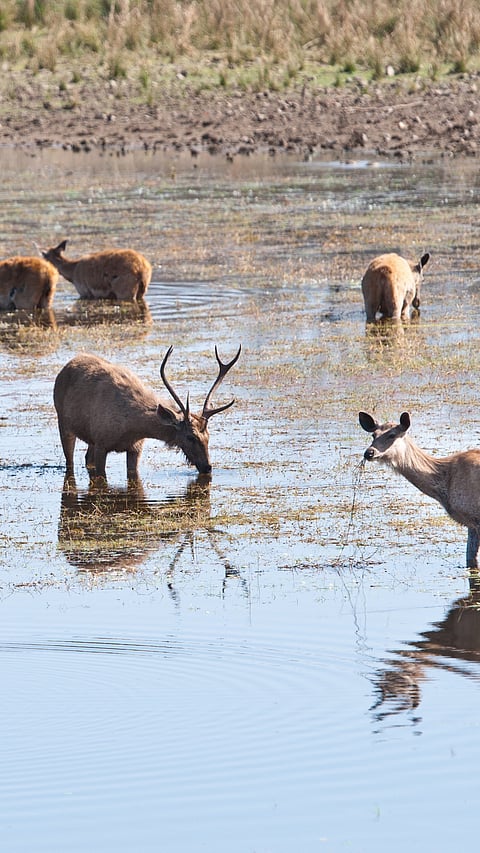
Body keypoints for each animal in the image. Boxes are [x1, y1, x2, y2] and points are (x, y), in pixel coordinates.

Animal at [54, 344, 241, 481]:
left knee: (86, 458)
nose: (207, 467)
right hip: (64, 423)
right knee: (70, 462)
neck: (130, 426)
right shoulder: (101, 443)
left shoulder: (136, 447)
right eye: (190, 437)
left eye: (208, 436)